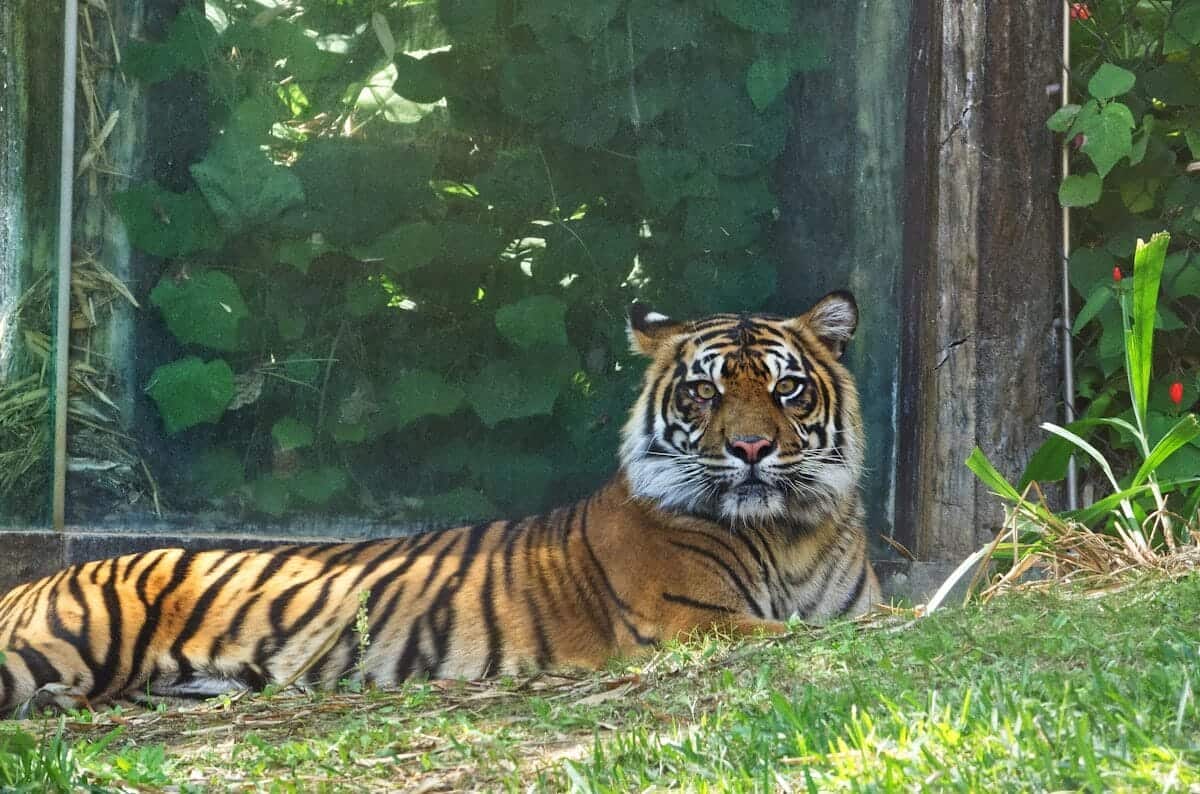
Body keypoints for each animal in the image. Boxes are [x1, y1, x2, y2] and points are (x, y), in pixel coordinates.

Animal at [0, 292, 879, 716]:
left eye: (785, 388)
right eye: (704, 392)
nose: (751, 450)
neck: (789, 534)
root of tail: (32, 582)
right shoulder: (694, 622)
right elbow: (825, 632)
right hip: (58, 642)